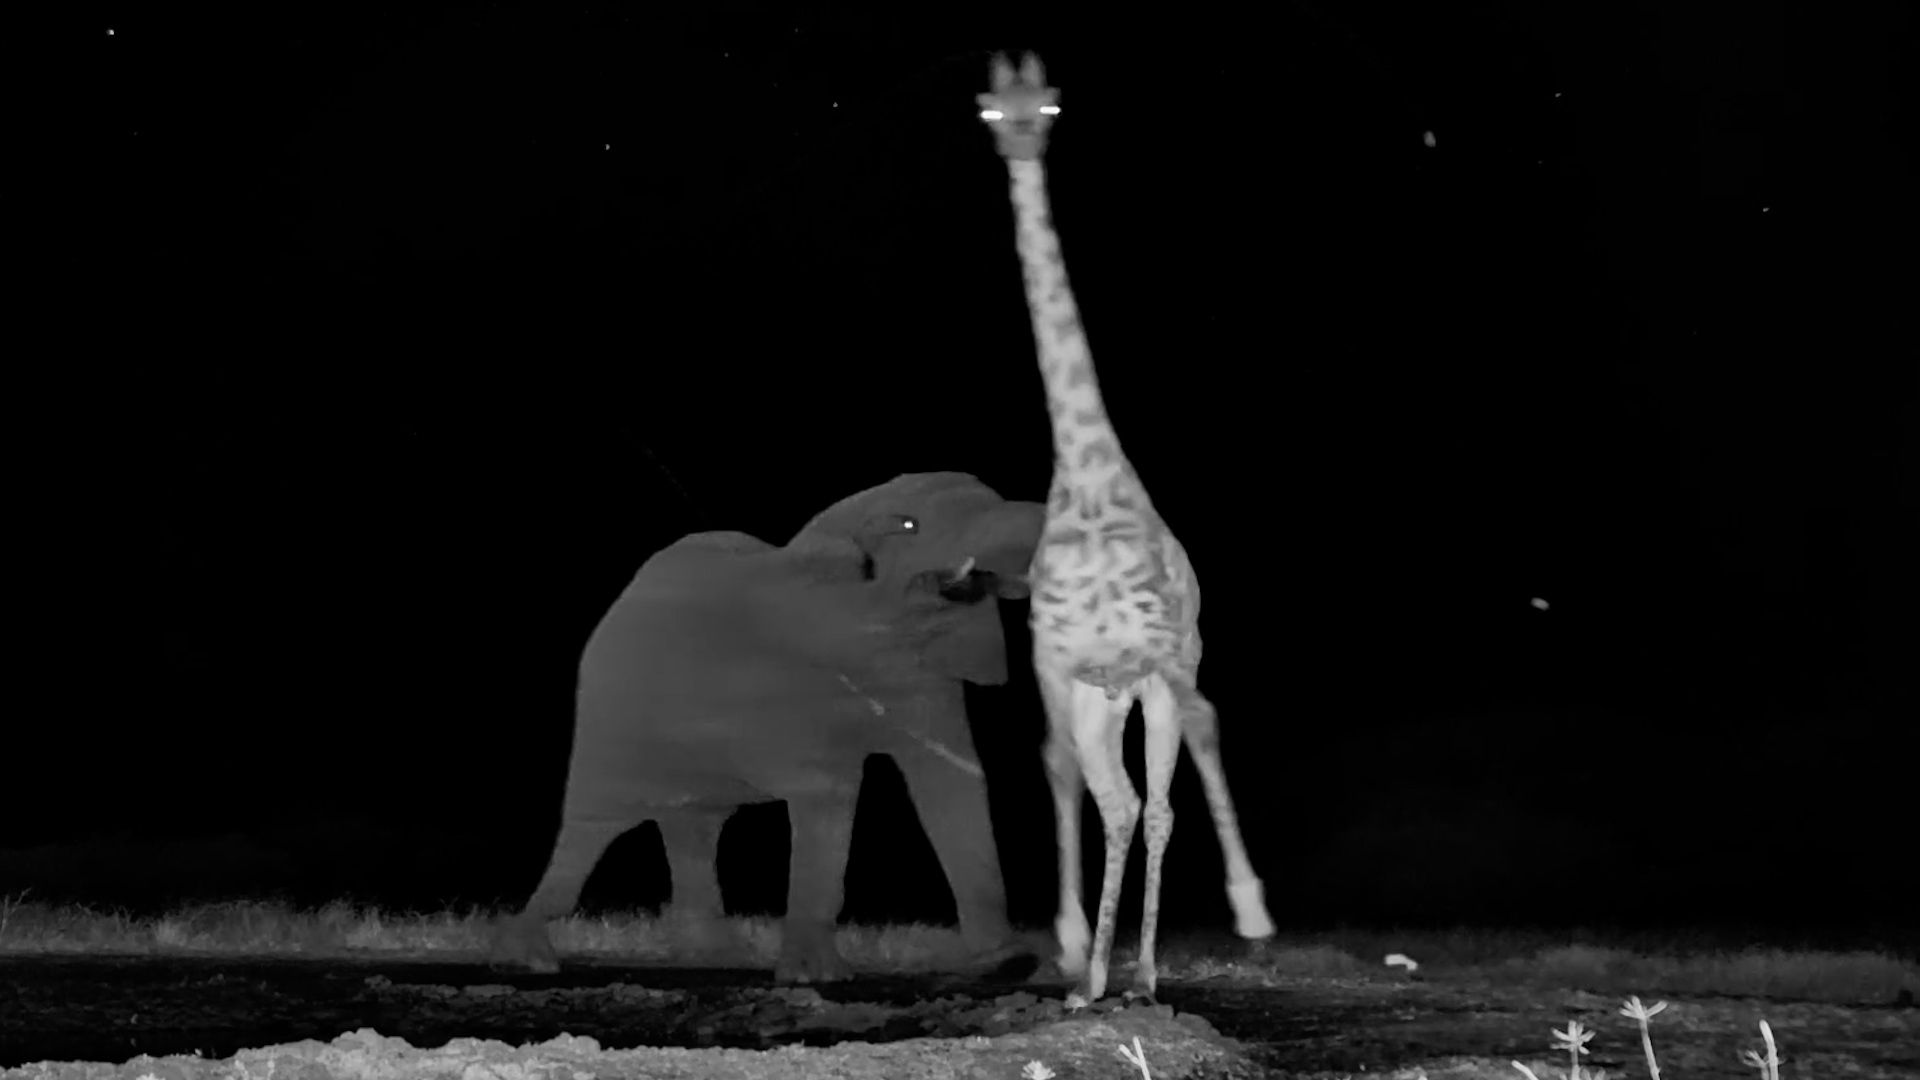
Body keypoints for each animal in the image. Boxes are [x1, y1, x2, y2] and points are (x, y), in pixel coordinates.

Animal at [491, 472, 1047, 983]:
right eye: (909, 526)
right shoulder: (795, 679)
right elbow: (832, 789)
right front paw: (816, 978)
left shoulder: (928, 674)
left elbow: (953, 781)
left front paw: (1006, 964)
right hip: (609, 723)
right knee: (594, 825)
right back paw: (532, 957)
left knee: (694, 827)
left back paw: (714, 956)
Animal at [976, 52, 1276, 1008]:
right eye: (990, 108)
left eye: (1052, 106)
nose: (1021, 142)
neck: (1090, 485)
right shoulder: (1055, 665)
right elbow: (1068, 776)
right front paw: (1081, 956)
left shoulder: (1166, 655)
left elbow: (1196, 750)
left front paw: (1241, 913)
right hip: (1100, 697)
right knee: (1111, 793)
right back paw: (1096, 966)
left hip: (1154, 681)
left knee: (1164, 795)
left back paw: (1149, 965)